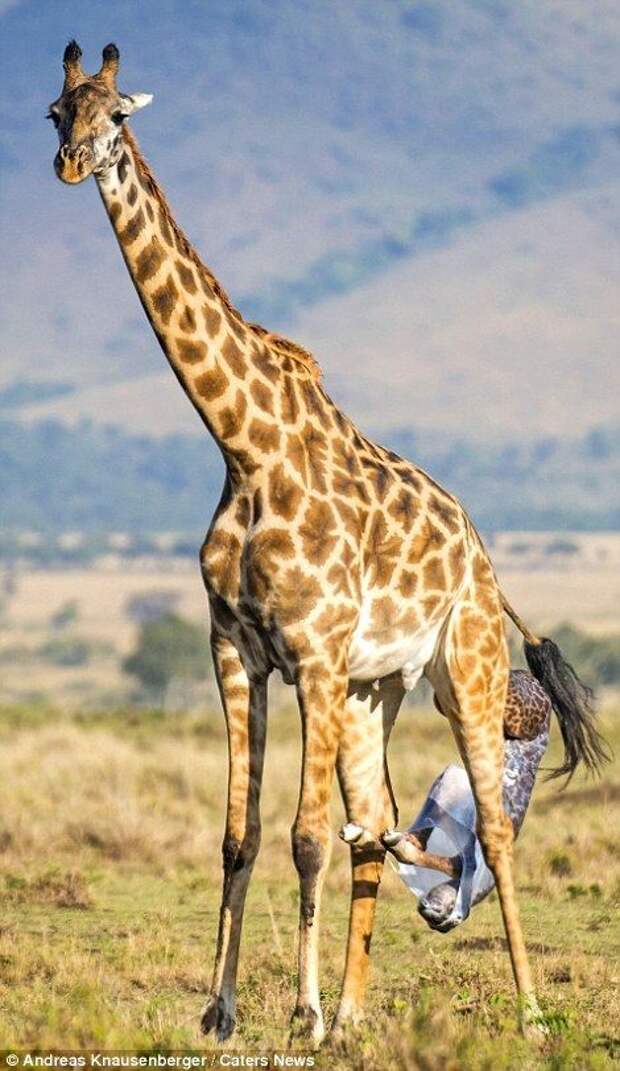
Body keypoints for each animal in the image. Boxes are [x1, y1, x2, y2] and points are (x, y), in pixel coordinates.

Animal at [49, 43, 612, 1045]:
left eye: (117, 116)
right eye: (54, 112)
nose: (72, 164)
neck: (244, 446)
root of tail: (482, 554)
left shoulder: (309, 652)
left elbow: (306, 837)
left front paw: (299, 1012)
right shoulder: (235, 649)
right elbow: (242, 835)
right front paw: (224, 1009)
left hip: (465, 669)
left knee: (491, 830)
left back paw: (528, 1014)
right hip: (371, 688)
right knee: (374, 824)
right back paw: (354, 1013)